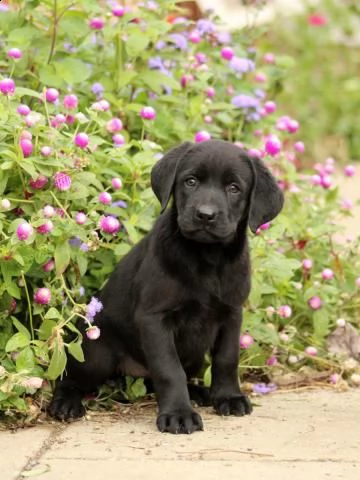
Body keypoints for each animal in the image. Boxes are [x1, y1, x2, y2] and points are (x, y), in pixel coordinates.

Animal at [48, 140, 284, 436]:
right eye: (190, 181)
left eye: (234, 188)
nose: (205, 215)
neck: (207, 258)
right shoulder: (155, 319)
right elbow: (169, 370)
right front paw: (178, 414)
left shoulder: (232, 313)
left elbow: (227, 358)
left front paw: (228, 397)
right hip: (97, 353)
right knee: (69, 376)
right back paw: (65, 403)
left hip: (194, 355)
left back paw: (199, 392)